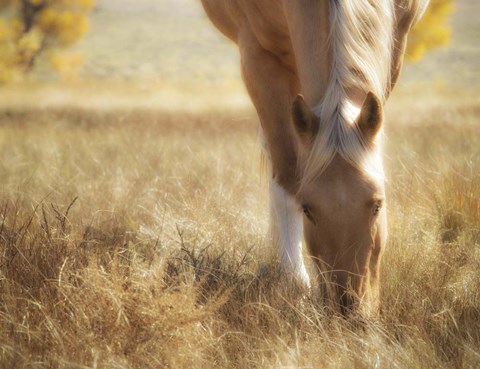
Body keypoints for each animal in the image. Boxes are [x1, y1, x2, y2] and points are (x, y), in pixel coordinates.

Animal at [199, 0, 428, 316]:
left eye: (377, 205)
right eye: (307, 209)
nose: (348, 310)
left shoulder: (398, 38)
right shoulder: (258, 57)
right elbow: (287, 174)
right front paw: (294, 286)